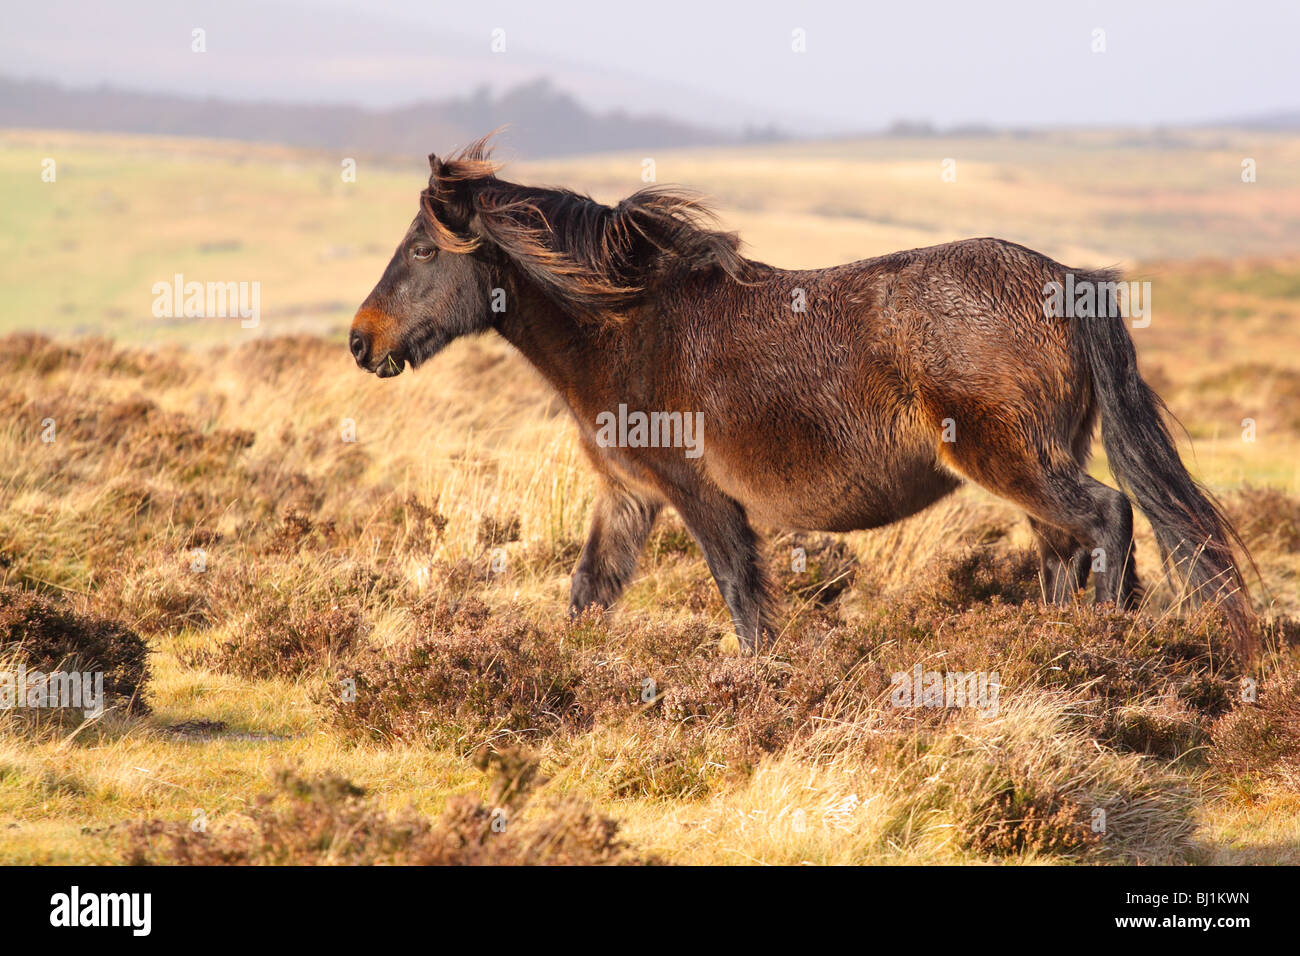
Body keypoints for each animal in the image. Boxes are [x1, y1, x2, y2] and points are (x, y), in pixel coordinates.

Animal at [349, 135, 1255, 660]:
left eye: (425, 249)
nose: (362, 340)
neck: (627, 323)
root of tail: (1068, 279)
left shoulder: (700, 495)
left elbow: (743, 600)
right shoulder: (629, 499)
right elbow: (587, 595)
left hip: (1012, 460)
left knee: (1107, 518)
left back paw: (1102, 650)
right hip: (1031, 469)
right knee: (1067, 548)